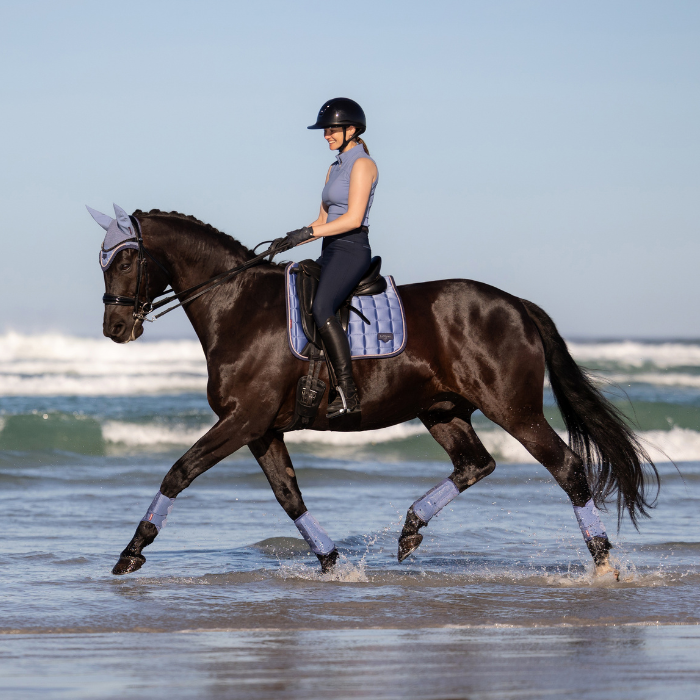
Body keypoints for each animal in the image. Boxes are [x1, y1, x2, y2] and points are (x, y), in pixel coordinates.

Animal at [98, 209, 658, 577]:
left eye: (124, 261)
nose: (115, 328)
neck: (238, 306)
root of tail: (515, 303)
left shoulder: (241, 421)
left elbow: (179, 472)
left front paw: (132, 552)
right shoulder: (261, 430)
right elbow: (289, 496)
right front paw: (332, 562)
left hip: (514, 410)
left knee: (567, 468)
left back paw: (603, 564)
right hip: (441, 411)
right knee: (475, 463)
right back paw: (410, 529)